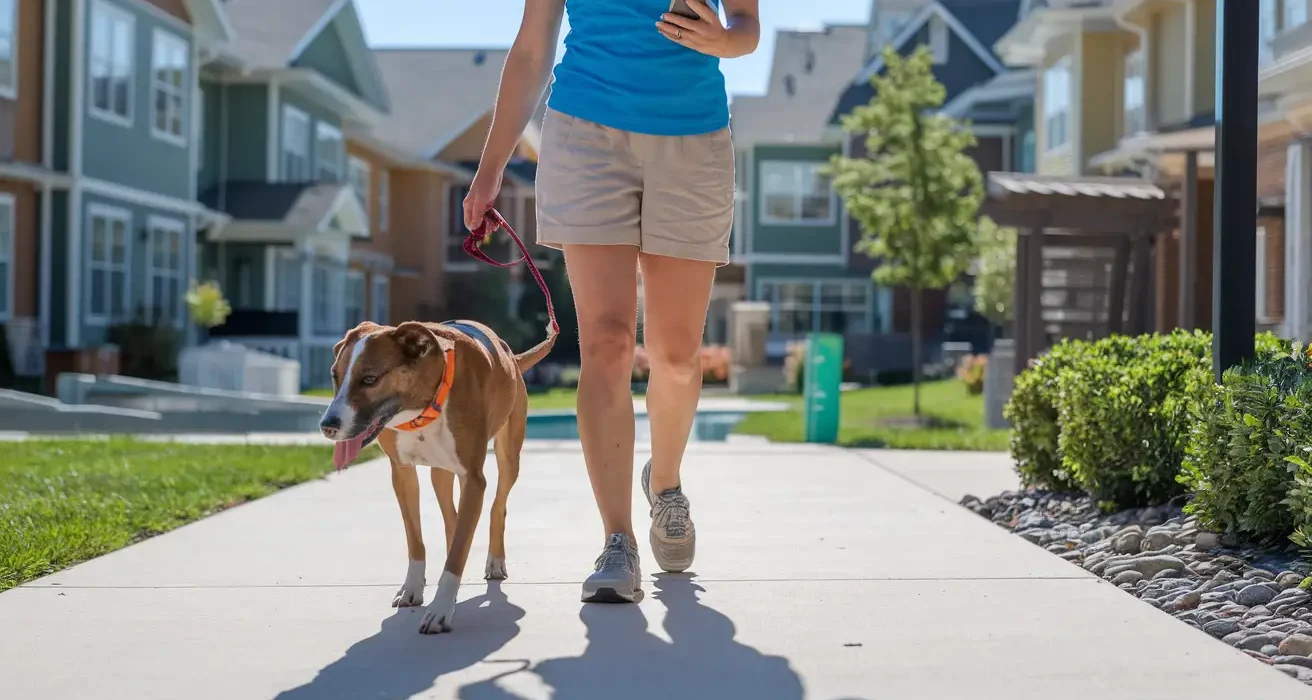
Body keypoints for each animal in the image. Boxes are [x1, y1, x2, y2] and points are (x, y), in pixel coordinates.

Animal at [324, 319, 558, 637]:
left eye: (370, 379)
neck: (421, 407)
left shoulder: (474, 479)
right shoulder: (402, 473)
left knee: (497, 505)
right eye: (334, 375)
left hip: (509, 456)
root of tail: (512, 356)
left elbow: (459, 549)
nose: (327, 425)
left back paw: (495, 561)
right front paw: (412, 588)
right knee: (452, 517)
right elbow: (416, 538)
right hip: (441, 474)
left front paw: (440, 609)